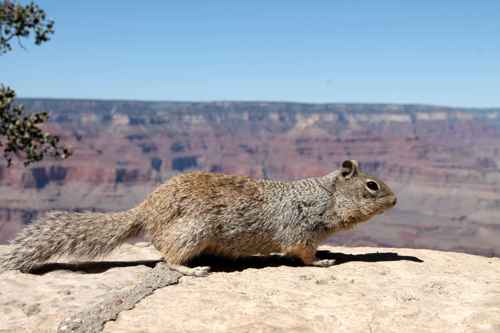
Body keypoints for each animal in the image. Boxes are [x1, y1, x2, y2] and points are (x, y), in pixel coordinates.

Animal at [1, 158, 396, 274]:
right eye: (372, 186)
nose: (395, 200)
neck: (326, 196)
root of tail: (146, 208)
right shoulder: (300, 230)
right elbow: (302, 253)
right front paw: (322, 263)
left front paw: (328, 253)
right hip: (194, 230)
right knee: (166, 259)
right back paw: (192, 269)